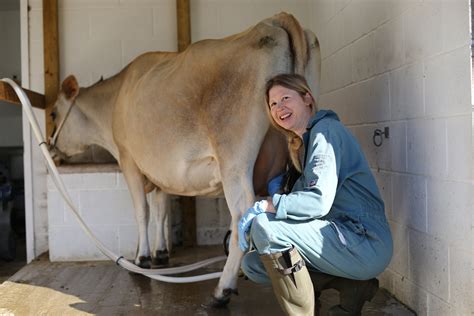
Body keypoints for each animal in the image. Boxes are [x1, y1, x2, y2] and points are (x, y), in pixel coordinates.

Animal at [50, 12, 320, 306]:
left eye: (53, 113)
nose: (51, 149)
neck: (114, 99)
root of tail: (273, 20)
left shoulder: (128, 160)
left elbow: (142, 211)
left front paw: (141, 259)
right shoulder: (159, 173)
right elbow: (161, 210)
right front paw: (159, 253)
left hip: (233, 158)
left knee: (241, 213)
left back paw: (222, 289)